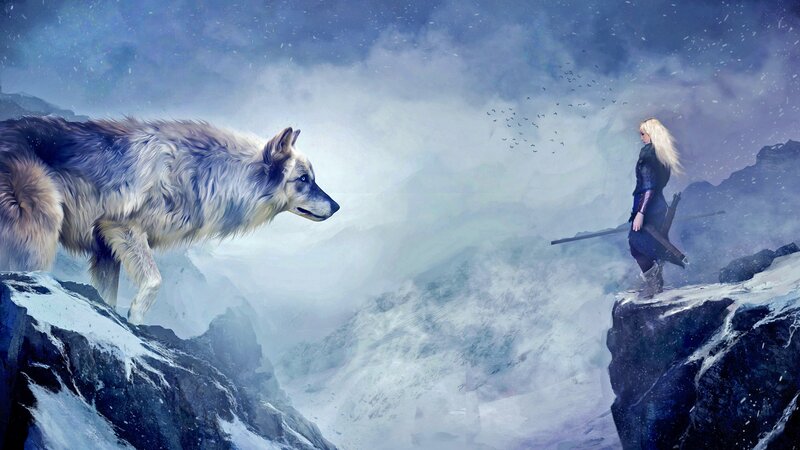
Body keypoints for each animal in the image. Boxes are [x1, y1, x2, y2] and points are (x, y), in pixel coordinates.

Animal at [0, 116, 339, 324]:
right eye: (304, 179)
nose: (336, 206)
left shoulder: (106, 250)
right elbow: (154, 281)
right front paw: (136, 317)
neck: (206, 174)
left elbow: (106, 298)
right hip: (41, 234)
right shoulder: (122, 227)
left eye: (313, 178)